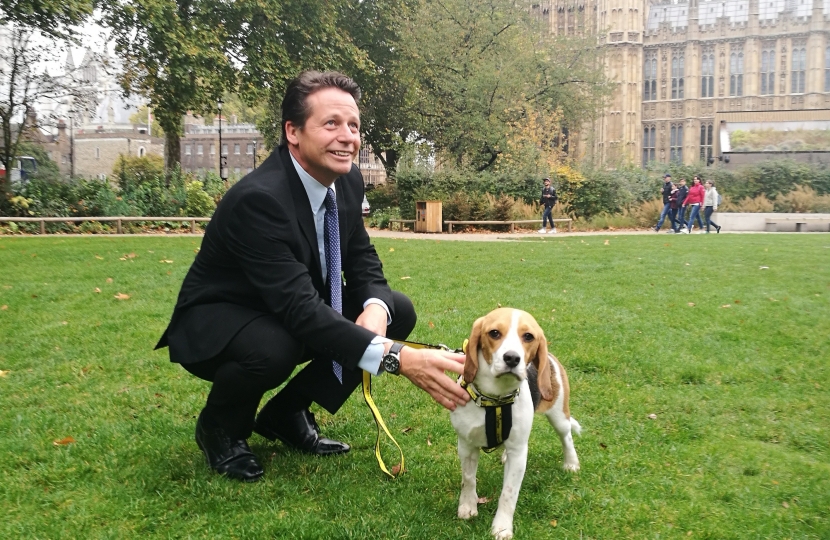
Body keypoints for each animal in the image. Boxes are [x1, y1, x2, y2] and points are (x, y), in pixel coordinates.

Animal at [452, 308, 580, 540]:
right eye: (494, 333)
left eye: (528, 336)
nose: (512, 358)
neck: (496, 398)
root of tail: (551, 358)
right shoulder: (466, 445)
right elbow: (468, 478)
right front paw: (467, 507)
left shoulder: (519, 454)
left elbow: (508, 493)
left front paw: (502, 527)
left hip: (558, 414)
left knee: (566, 437)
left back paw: (571, 463)